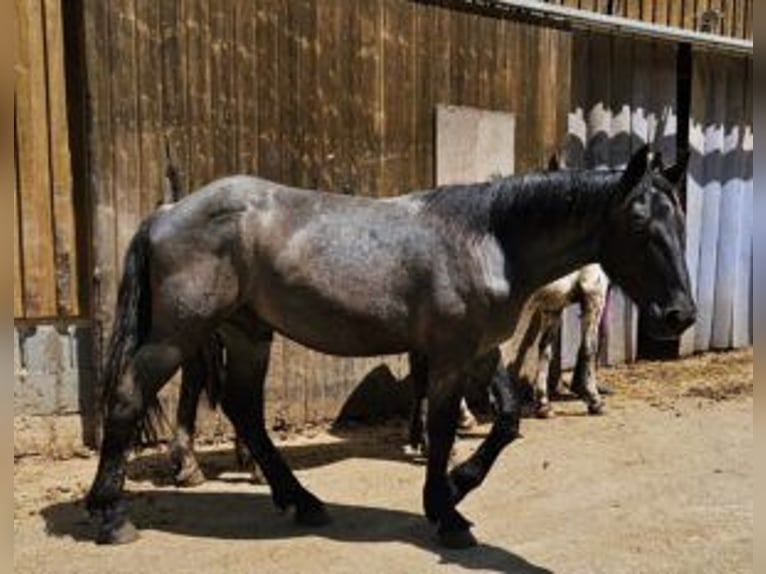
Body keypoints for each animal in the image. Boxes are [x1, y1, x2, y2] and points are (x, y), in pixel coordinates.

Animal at [87, 144, 700, 548]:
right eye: (640, 226)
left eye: (680, 223)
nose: (680, 315)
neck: (487, 240)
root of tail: (167, 212)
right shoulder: (451, 356)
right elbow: (444, 426)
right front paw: (446, 513)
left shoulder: (480, 351)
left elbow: (506, 420)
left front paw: (457, 486)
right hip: (177, 335)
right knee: (128, 396)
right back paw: (111, 514)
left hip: (247, 333)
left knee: (246, 412)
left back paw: (301, 501)